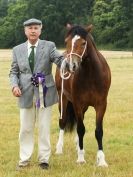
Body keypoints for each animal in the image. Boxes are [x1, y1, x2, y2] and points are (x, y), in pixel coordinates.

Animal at [55, 24, 111, 167]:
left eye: (83, 43)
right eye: (66, 41)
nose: (70, 65)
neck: (91, 74)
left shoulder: (101, 105)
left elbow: (98, 131)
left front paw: (102, 160)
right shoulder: (77, 104)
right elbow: (81, 129)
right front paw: (80, 158)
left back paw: (77, 145)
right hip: (62, 99)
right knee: (63, 122)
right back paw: (59, 149)